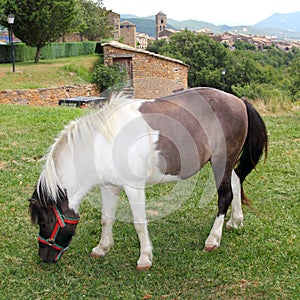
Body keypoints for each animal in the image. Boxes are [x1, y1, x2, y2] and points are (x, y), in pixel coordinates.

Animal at [28, 86, 268, 270]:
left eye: (44, 221)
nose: (44, 257)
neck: (103, 143)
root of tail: (238, 101)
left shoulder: (134, 187)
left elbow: (139, 223)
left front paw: (144, 258)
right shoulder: (109, 187)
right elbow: (106, 218)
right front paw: (102, 248)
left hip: (221, 161)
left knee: (225, 195)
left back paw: (213, 239)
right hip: (226, 163)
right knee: (236, 181)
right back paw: (235, 221)